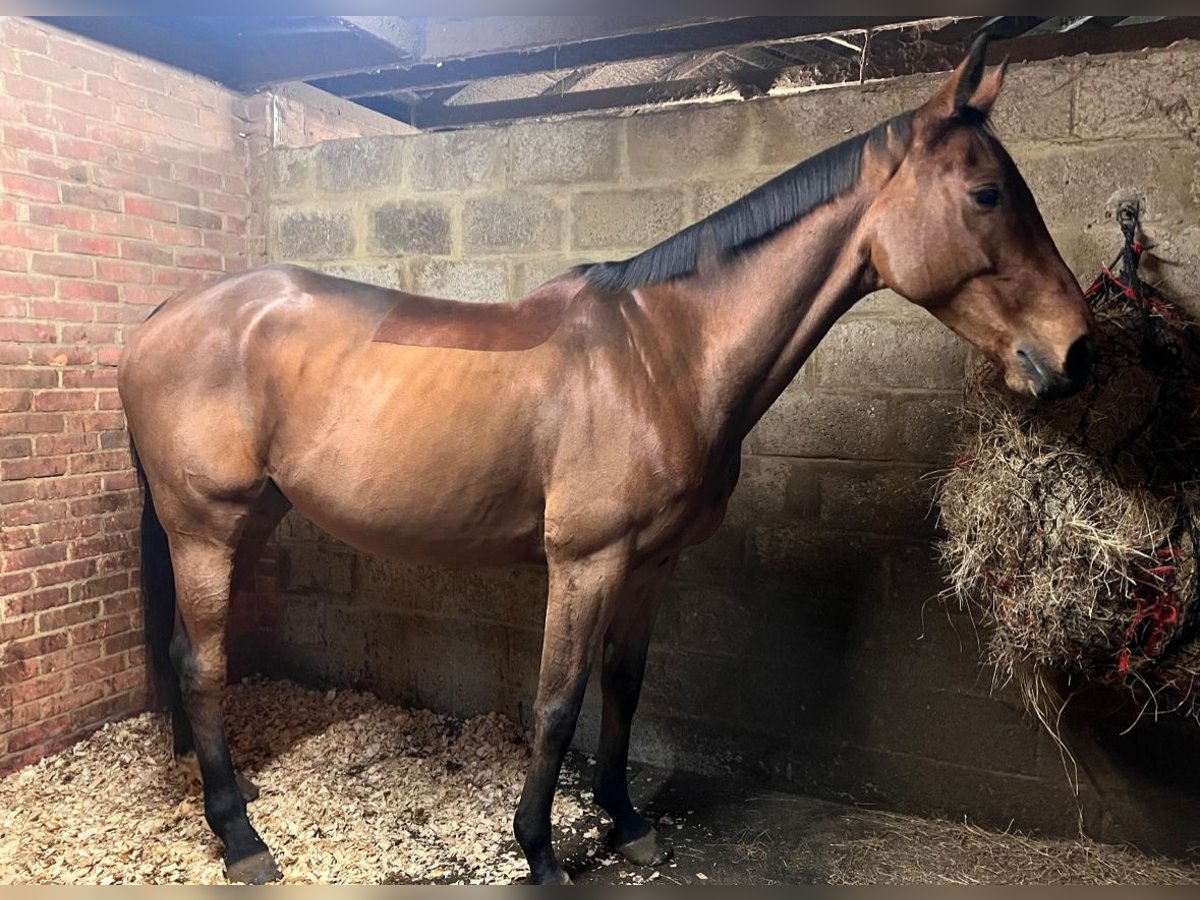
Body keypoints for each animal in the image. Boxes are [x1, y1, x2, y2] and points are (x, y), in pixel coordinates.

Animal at [117, 37, 1094, 888]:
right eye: (986, 194)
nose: (1077, 351)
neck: (665, 354)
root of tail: (165, 316)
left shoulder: (651, 565)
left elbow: (624, 691)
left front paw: (628, 825)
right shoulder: (585, 562)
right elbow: (558, 703)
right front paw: (540, 852)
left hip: (251, 517)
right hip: (204, 529)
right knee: (201, 663)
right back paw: (241, 838)